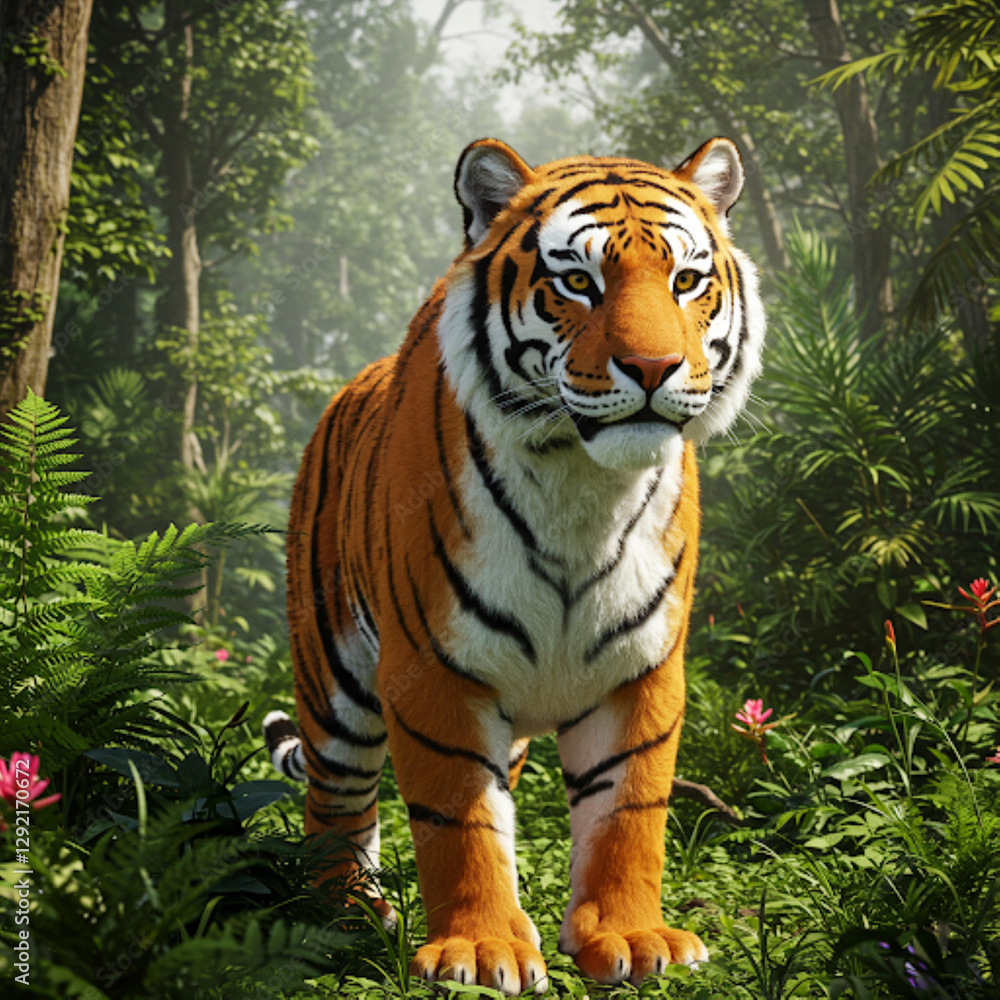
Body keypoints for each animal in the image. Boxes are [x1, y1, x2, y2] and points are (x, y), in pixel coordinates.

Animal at [263, 136, 765, 993]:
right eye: (578, 282)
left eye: (686, 281)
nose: (655, 366)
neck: (585, 486)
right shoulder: (435, 669)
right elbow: (458, 820)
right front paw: (480, 950)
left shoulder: (640, 667)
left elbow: (627, 814)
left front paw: (631, 938)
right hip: (334, 677)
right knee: (338, 800)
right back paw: (347, 909)